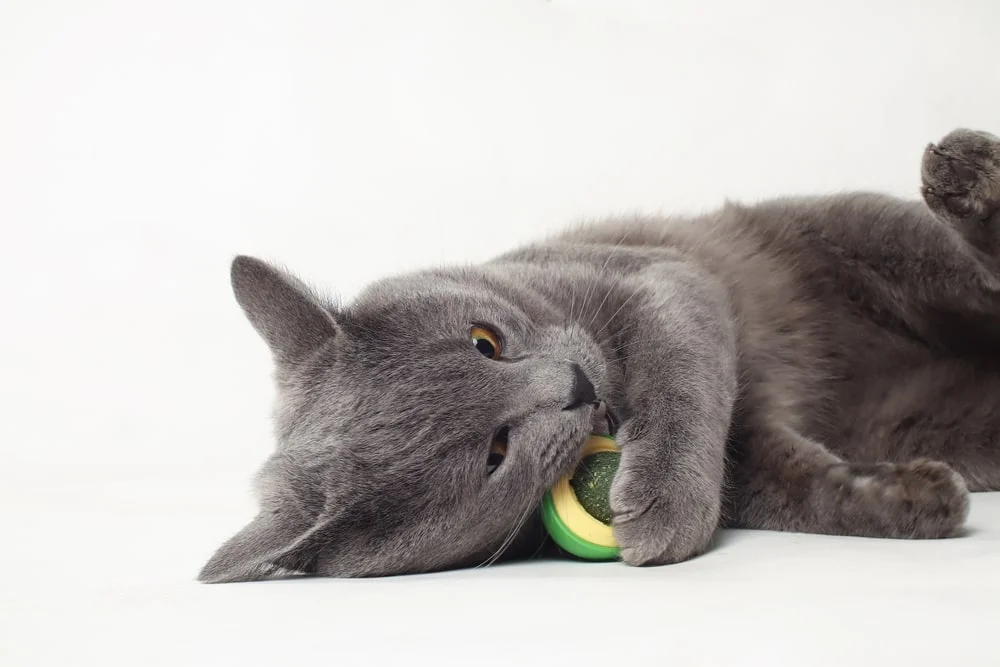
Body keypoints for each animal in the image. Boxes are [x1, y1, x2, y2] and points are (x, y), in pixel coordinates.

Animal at [199, 128, 1000, 580]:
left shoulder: (660, 276)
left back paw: (965, 174)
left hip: (875, 234)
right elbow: (799, 486)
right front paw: (913, 499)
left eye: (485, 341)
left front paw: (661, 500)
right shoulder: (755, 452)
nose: (578, 384)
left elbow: (683, 383)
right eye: (495, 453)